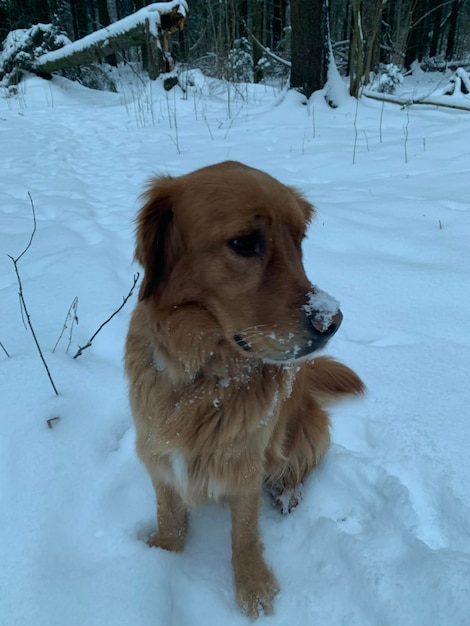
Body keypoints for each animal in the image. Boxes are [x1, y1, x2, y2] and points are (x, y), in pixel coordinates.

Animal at [125, 160, 364, 616]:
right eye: (244, 243)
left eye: (299, 240)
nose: (332, 321)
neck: (204, 377)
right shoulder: (155, 450)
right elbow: (168, 514)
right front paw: (163, 555)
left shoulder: (245, 463)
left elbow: (246, 533)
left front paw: (253, 586)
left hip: (308, 430)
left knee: (299, 468)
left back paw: (287, 494)